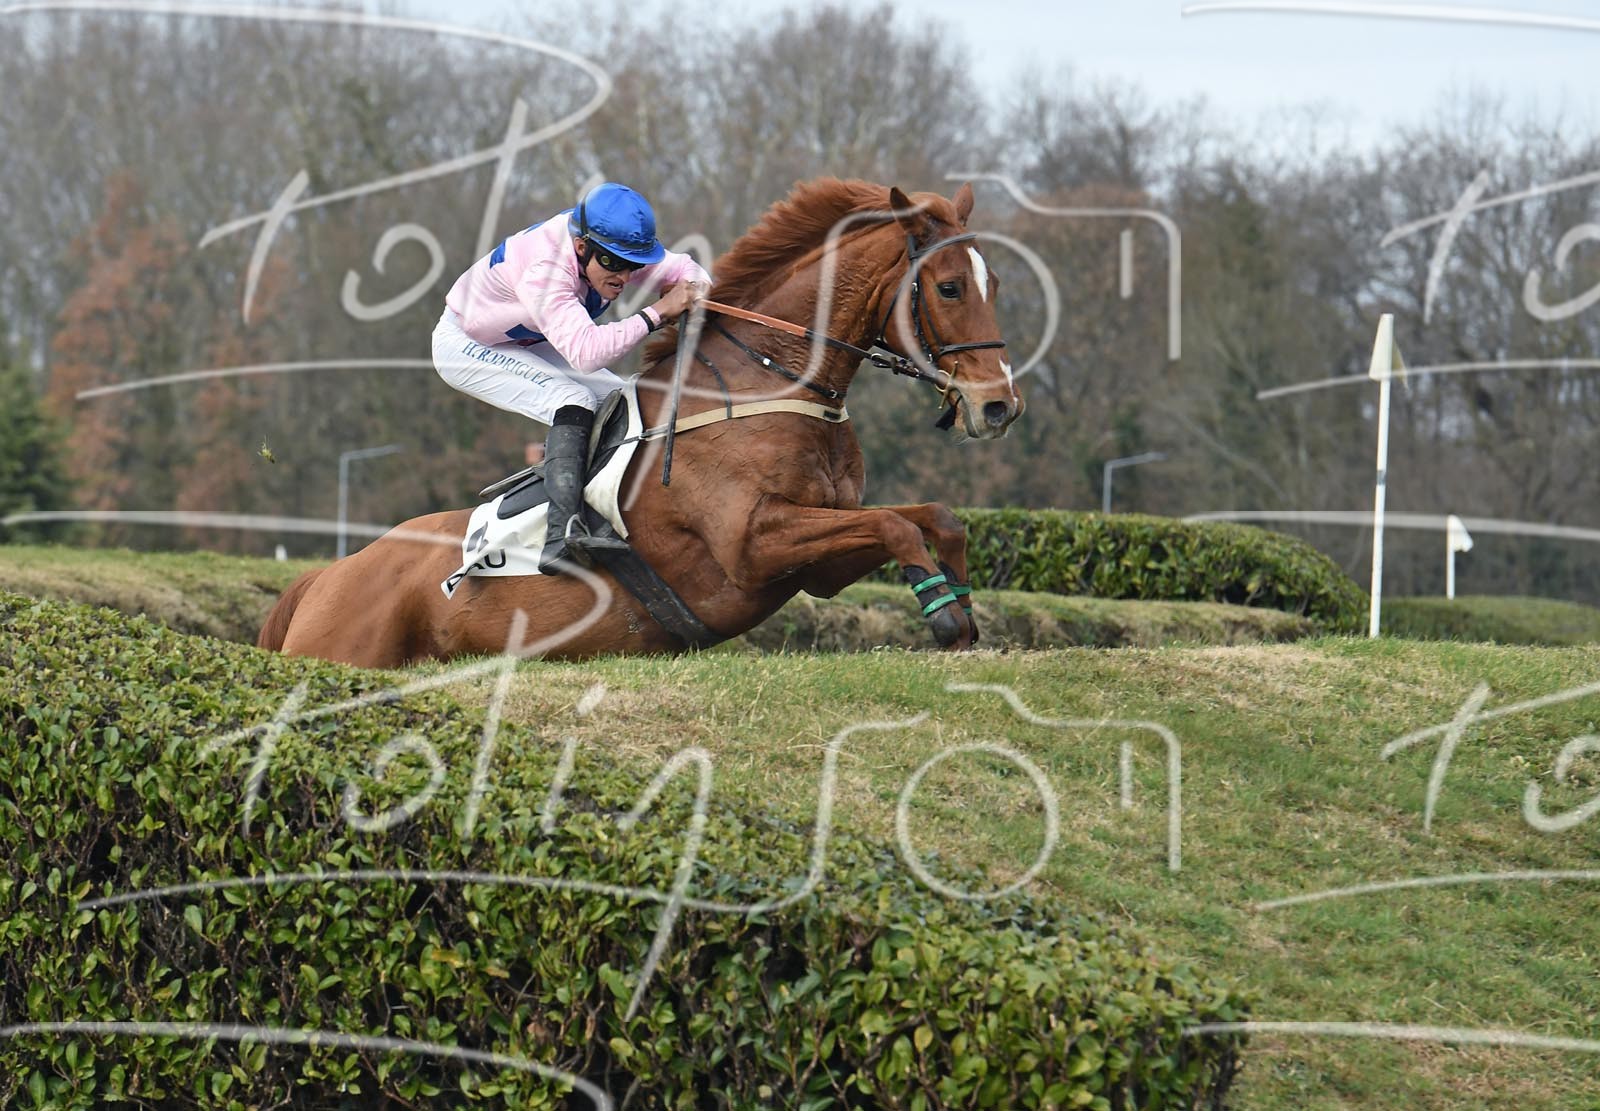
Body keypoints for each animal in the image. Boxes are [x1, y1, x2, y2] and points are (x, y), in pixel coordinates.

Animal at [259, 178, 1023, 668]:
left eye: (994, 284)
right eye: (949, 286)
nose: (999, 405)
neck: (770, 379)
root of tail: (326, 577)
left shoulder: (819, 558)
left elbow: (933, 517)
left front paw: (961, 604)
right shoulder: (752, 544)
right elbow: (897, 524)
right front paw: (944, 614)